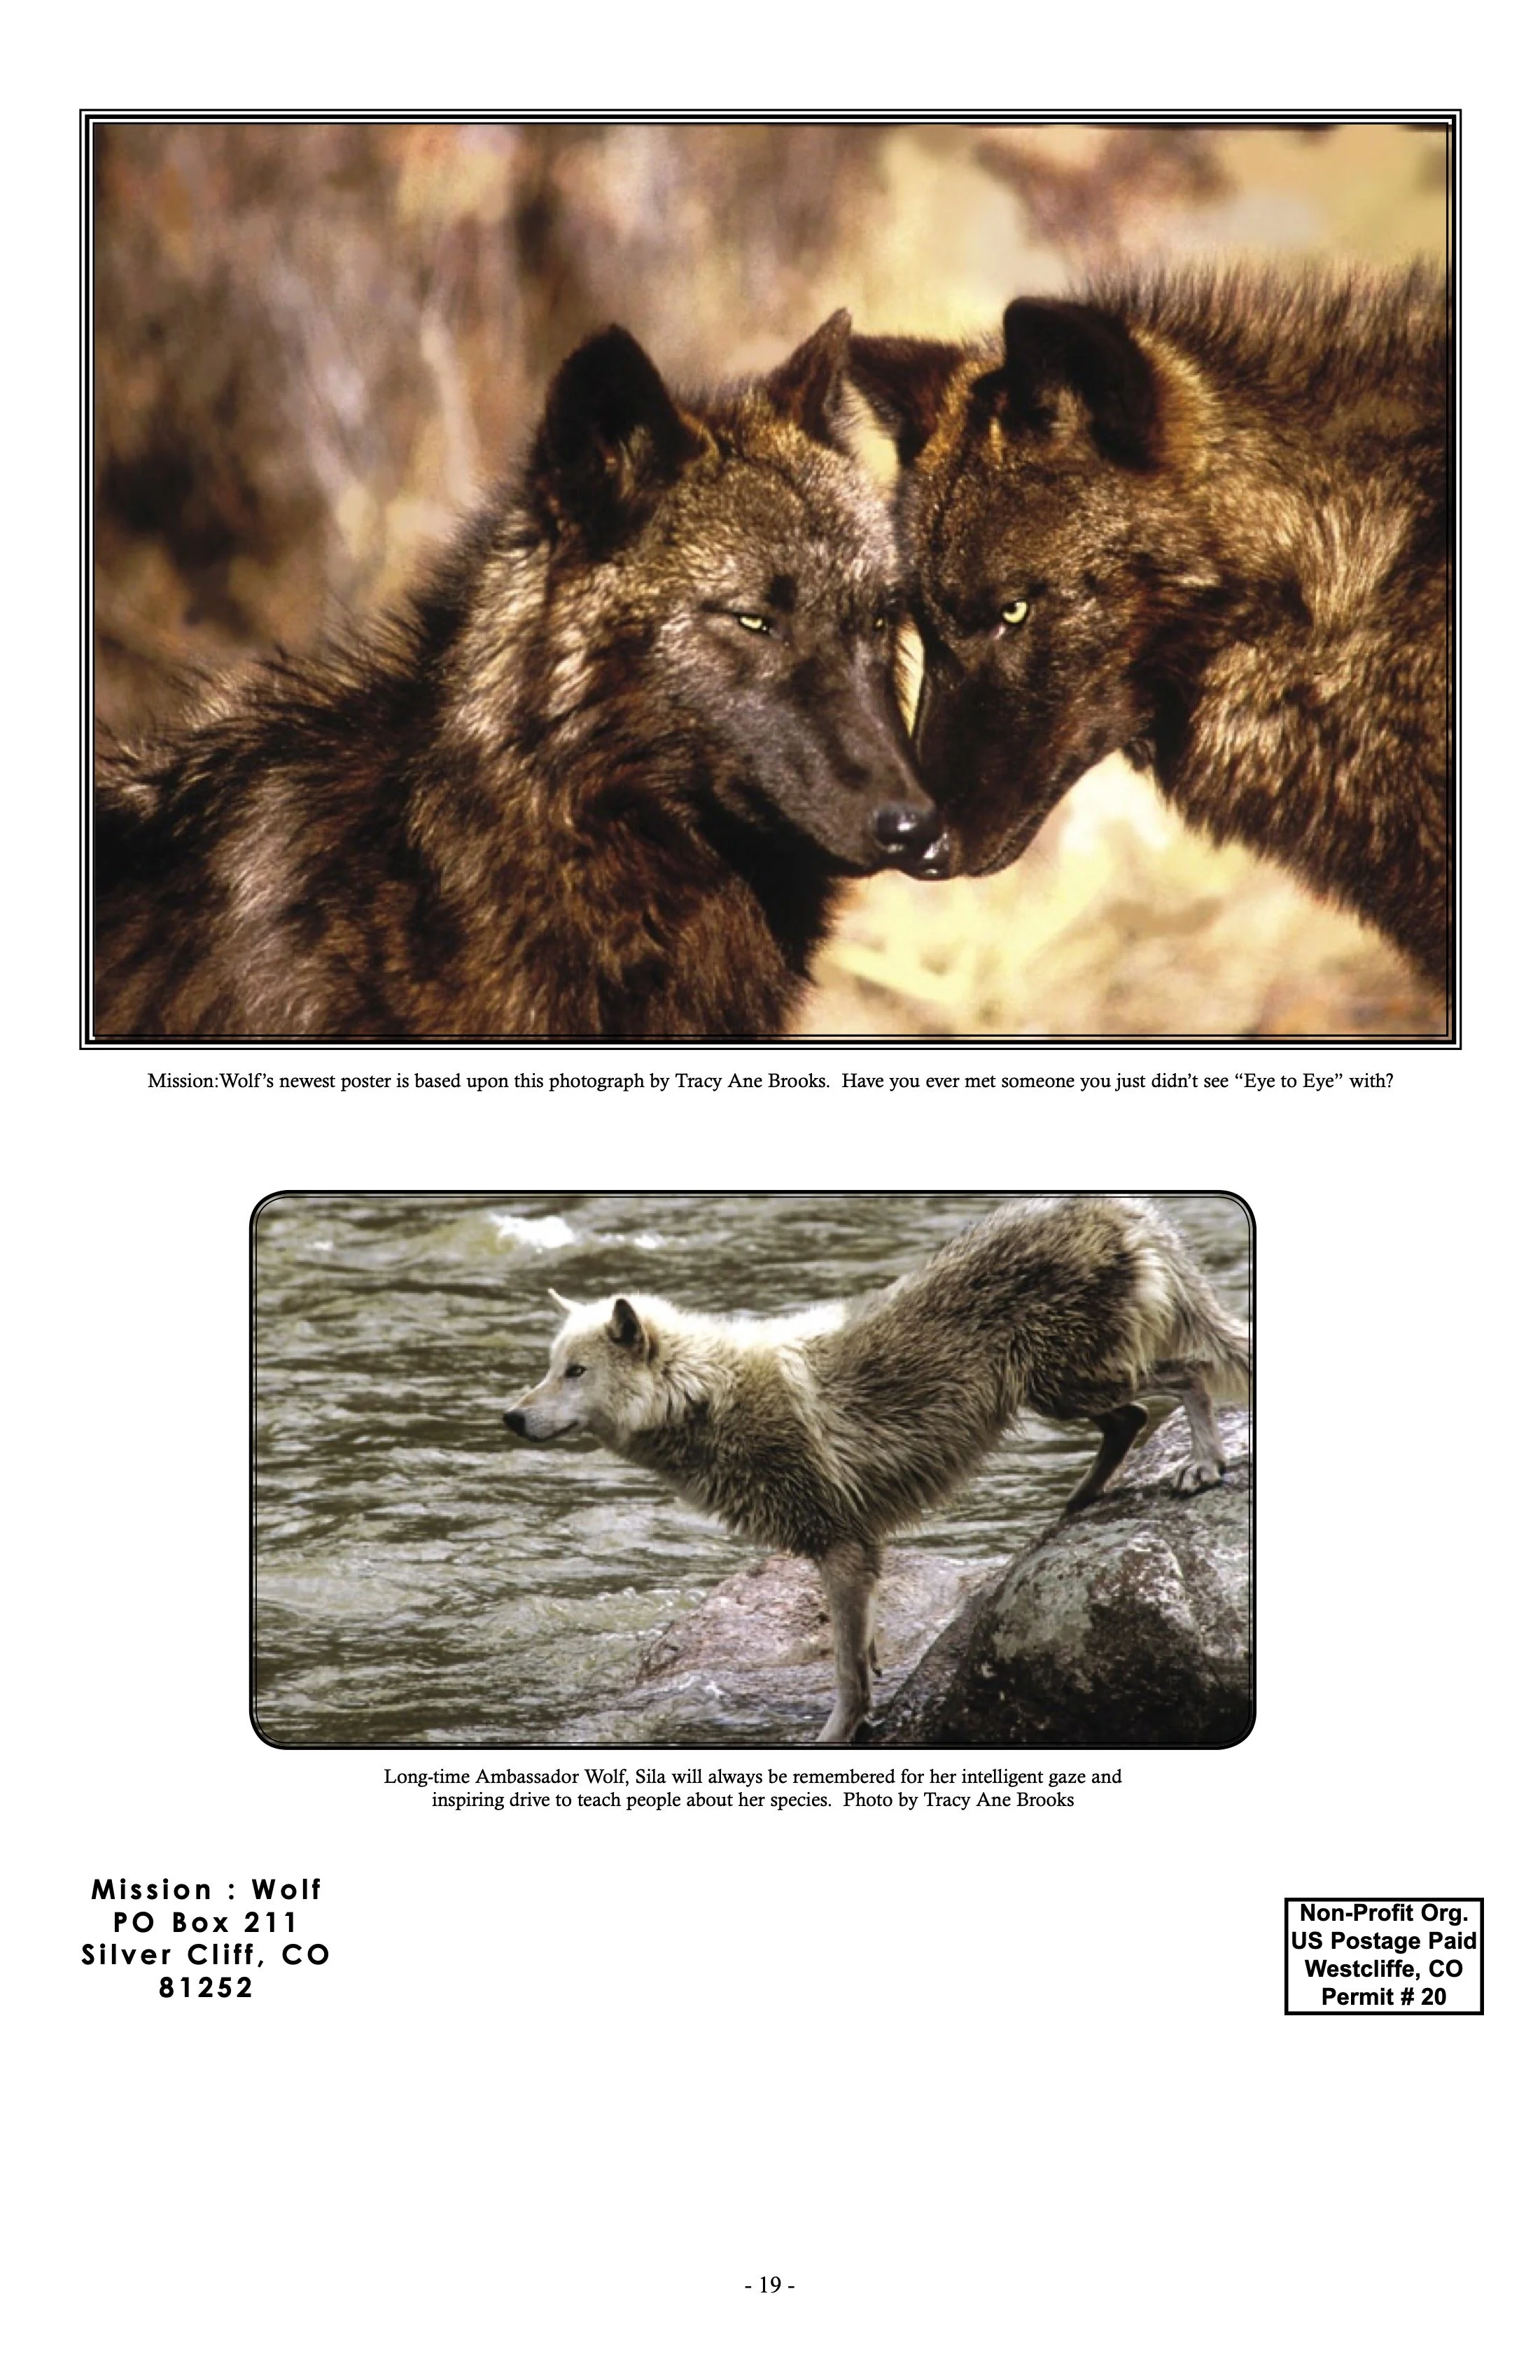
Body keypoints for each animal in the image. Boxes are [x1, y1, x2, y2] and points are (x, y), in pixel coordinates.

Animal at [504, 1197, 1250, 1746]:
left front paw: (835, 1735)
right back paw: (1080, 1501)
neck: (708, 1398)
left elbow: (844, 1672)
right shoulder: (859, 1552)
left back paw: (1204, 1463)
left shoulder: (842, 1548)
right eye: (549, 1368)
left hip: (1064, 1384)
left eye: (575, 1372)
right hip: (1060, 1391)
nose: (510, 1417)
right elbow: (859, 1653)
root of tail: (1120, 1207)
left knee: (1186, 1377)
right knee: (1131, 1417)